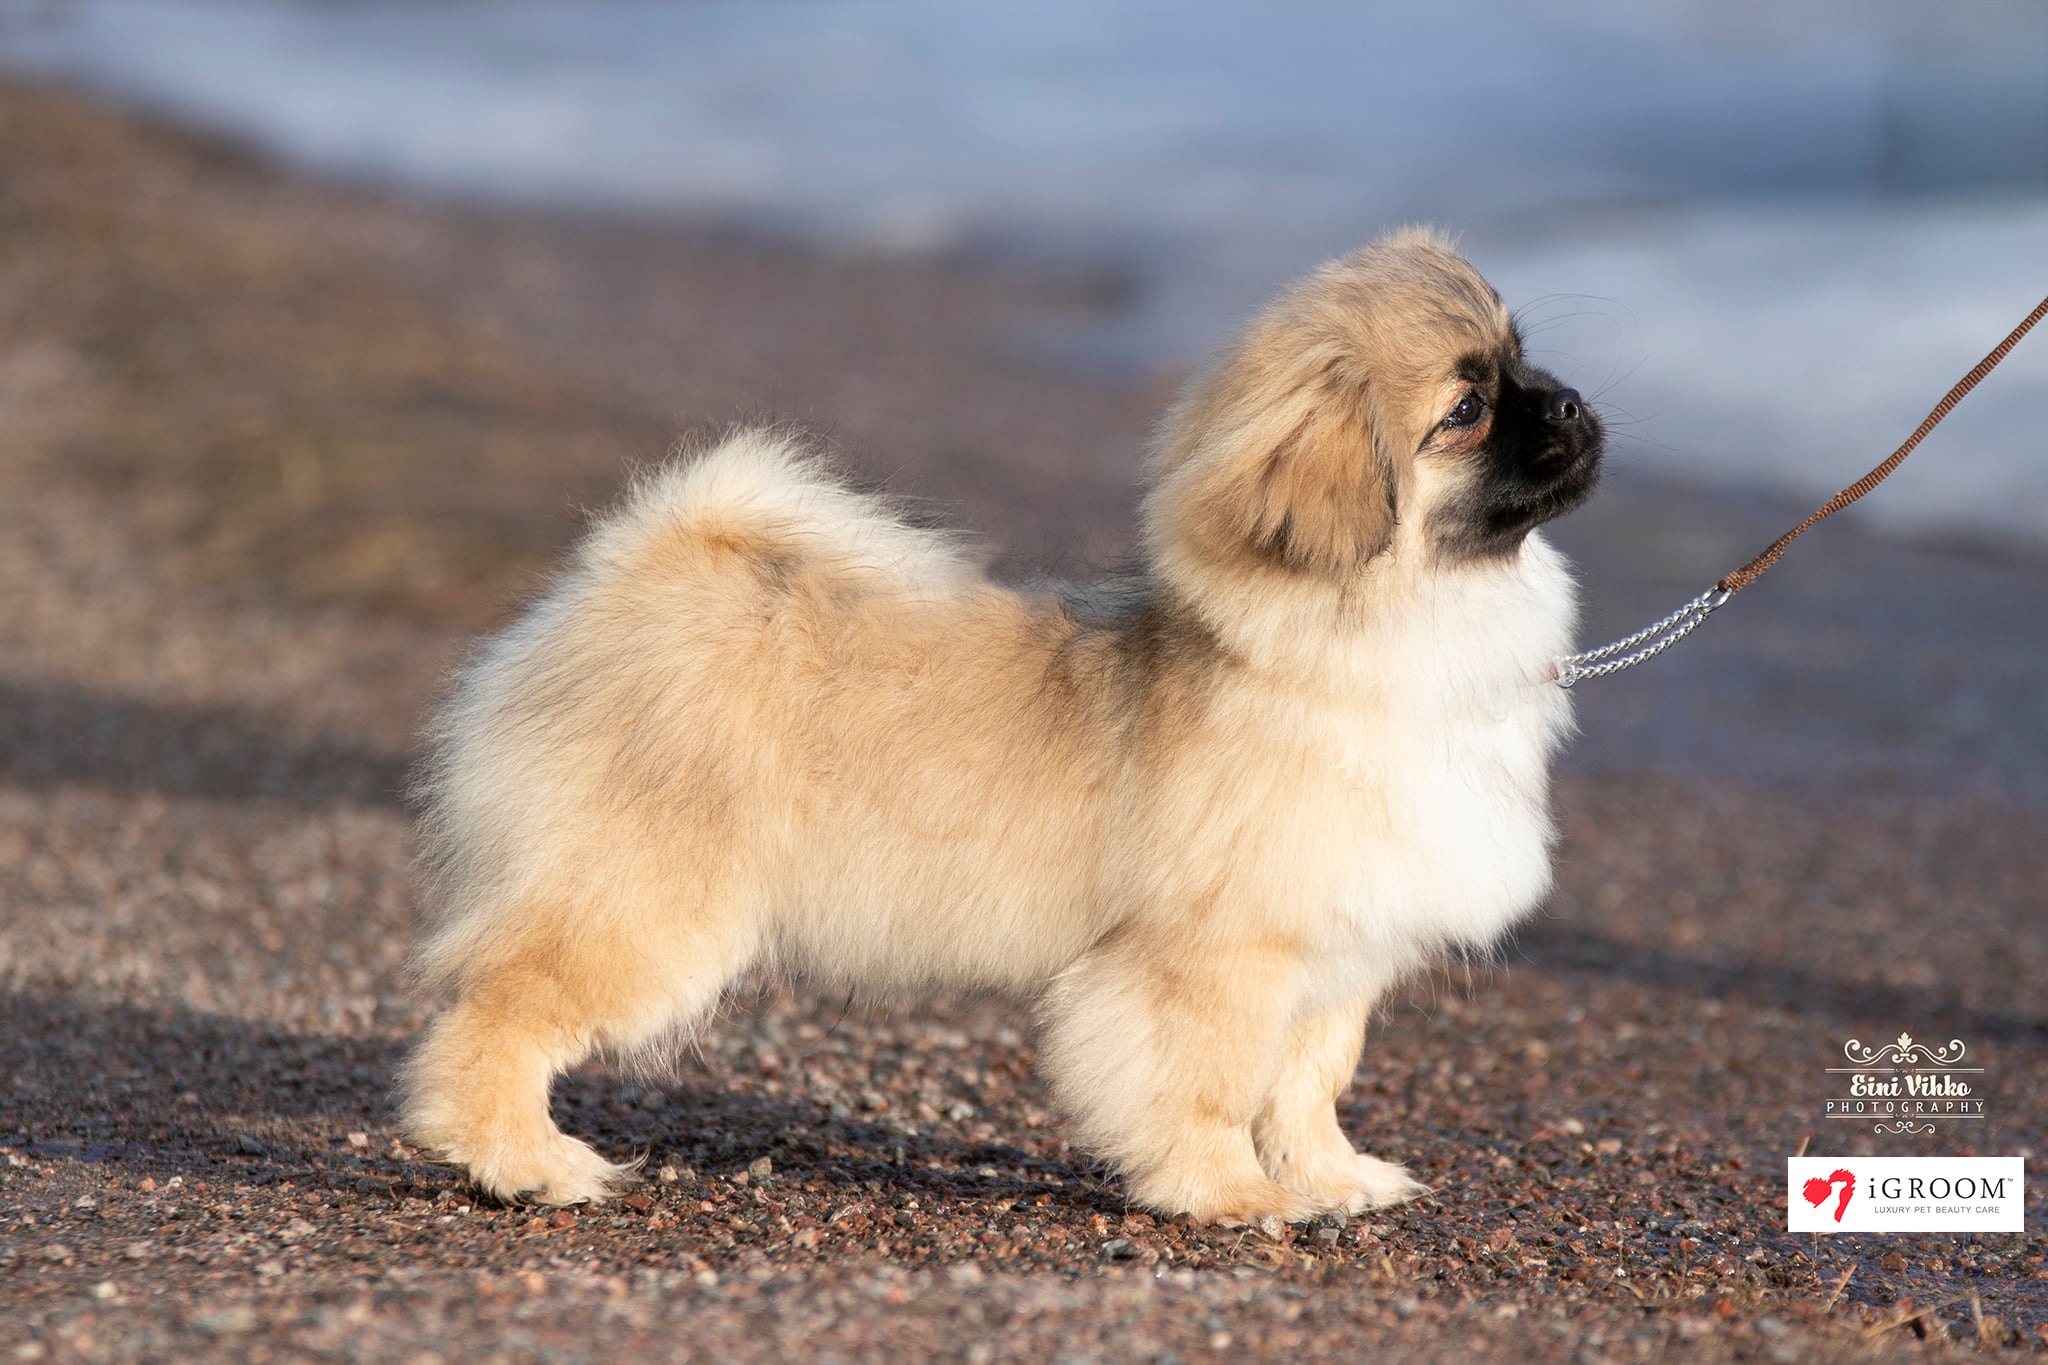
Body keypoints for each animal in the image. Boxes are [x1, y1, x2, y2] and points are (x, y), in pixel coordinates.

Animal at [399, 228, 1602, 1221]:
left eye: (1524, 362)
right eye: (1465, 411)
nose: (1574, 404)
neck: (1394, 639)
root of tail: (635, 577)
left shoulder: (1335, 958)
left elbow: (1306, 1087)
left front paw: (1330, 1179)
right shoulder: (1214, 963)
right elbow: (1210, 1089)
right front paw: (1229, 1195)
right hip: (647, 908)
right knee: (497, 1011)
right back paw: (522, 1162)